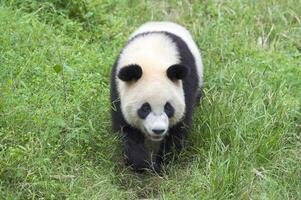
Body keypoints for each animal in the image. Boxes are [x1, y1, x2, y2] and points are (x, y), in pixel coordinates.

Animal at [109, 21, 203, 172]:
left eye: (168, 107)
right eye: (145, 108)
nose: (158, 130)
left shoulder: (186, 85)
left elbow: (179, 126)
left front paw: (163, 162)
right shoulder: (118, 89)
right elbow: (126, 128)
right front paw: (142, 163)